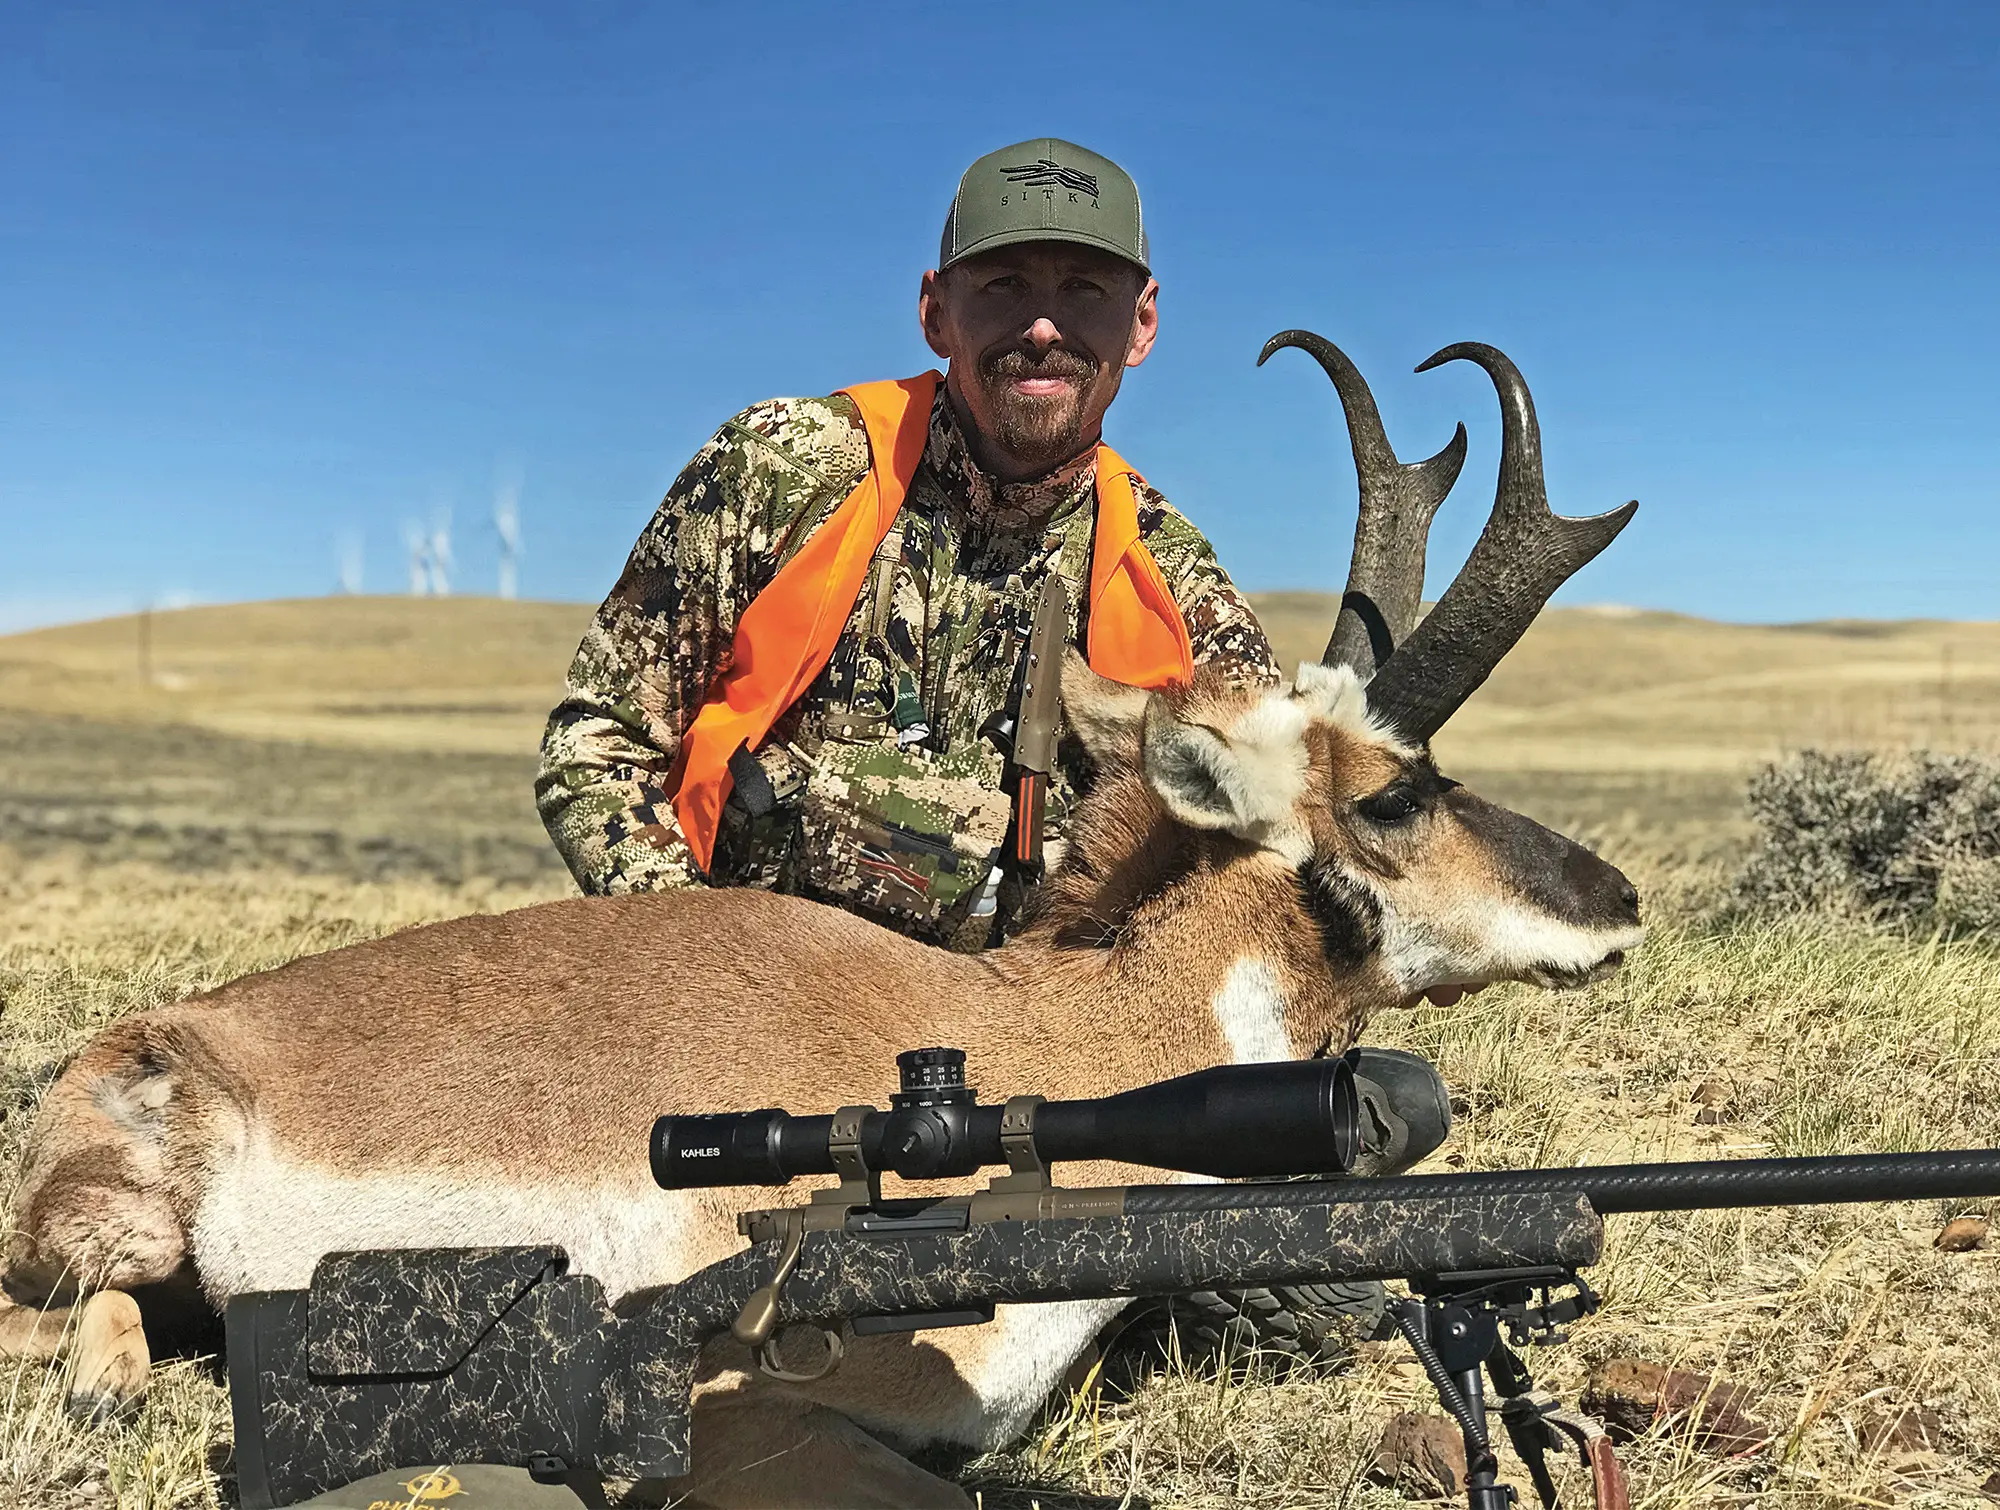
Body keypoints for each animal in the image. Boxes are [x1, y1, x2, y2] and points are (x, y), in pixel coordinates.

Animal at [7, 342, 1640, 1510]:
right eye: (1397, 793)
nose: (1619, 899)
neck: (1054, 1039)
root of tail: (166, 1032)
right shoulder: (755, 1416)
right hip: (117, 1215)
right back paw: (106, 1382)